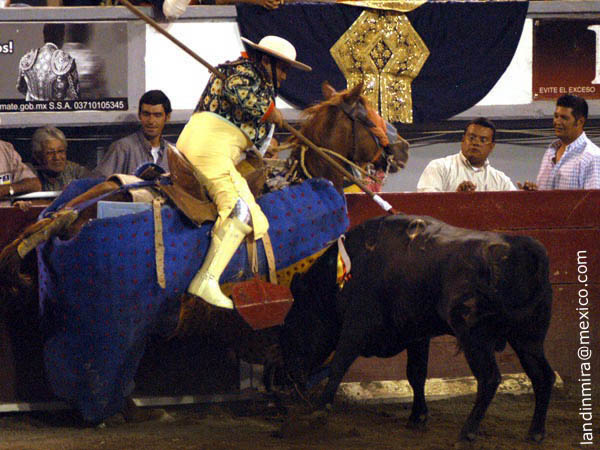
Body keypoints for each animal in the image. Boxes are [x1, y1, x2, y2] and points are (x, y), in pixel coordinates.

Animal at [0, 81, 408, 426]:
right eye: (369, 113)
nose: (403, 148)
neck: (303, 181)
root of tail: (66, 213)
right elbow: (304, 349)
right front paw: (290, 394)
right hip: (108, 328)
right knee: (98, 372)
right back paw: (119, 411)